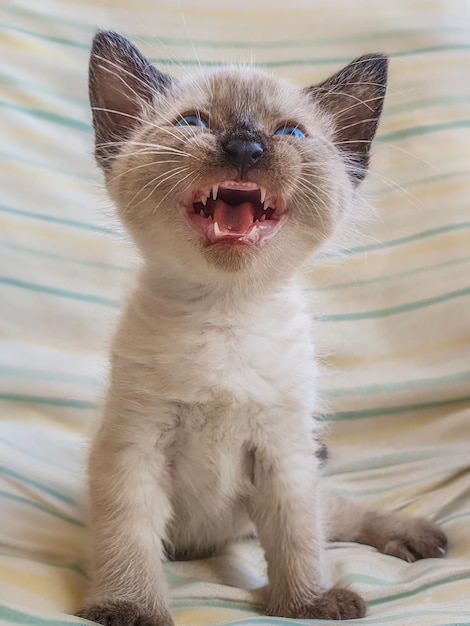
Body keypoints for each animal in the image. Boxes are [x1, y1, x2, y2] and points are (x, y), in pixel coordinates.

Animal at [78, 31, 448, 620]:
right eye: (194, 123)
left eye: (289, 133)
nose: (245, 149)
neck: (226, 313)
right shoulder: (134, 448)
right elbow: (128, 539)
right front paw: (128, 607)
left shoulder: (284, 454)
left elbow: (298, 539)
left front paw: (306, 603)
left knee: (334, 516)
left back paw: (413, 535)